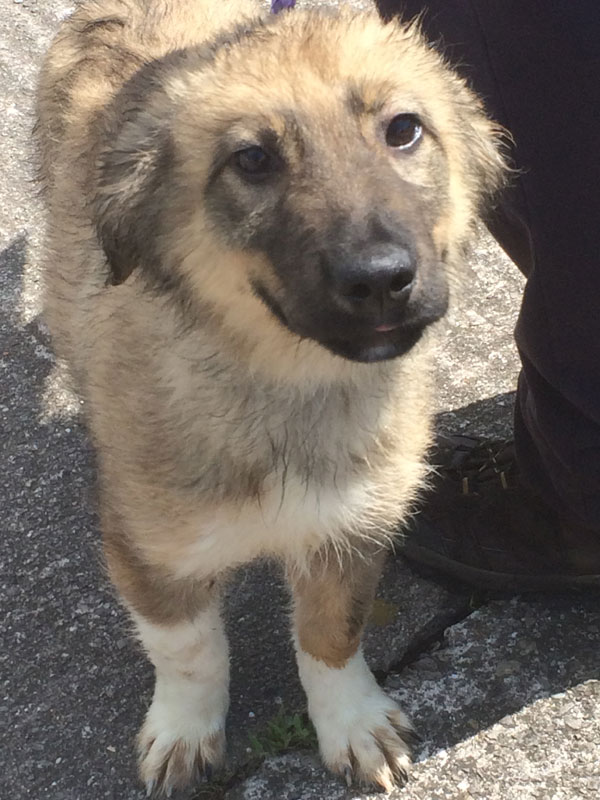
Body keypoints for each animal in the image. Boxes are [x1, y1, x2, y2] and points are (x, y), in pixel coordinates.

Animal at [36, 1, 506, 792]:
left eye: (404, 130)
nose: (381, 279)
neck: (289, 385)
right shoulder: (148, 546)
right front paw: (185, 733)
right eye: (252, 160)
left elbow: (331, 634)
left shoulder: (354, 523)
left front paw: (352, 723)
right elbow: (189, 650)